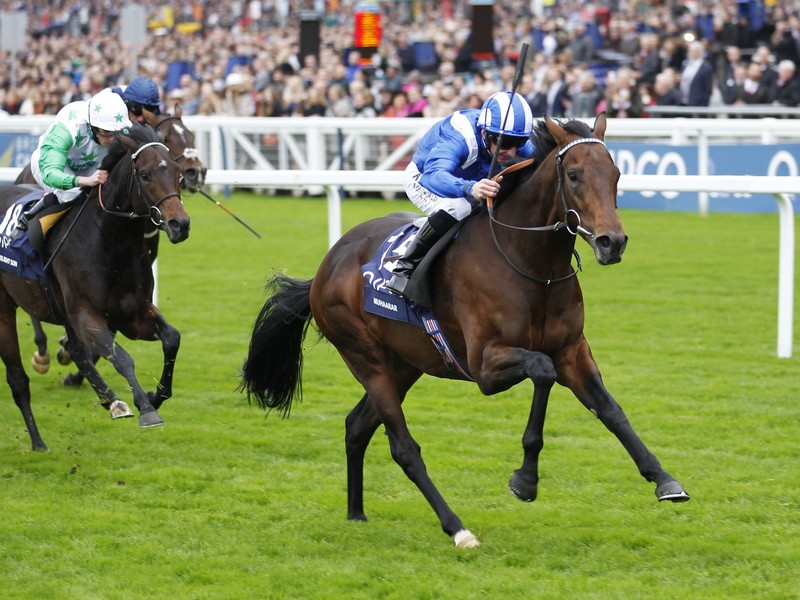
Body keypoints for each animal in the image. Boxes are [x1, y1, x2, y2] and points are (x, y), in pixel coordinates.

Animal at [0, 124, 190, 450]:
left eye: (177, 172)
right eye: (145, 174)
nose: (180, 224)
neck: (110, 242)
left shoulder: (131, 315)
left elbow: (171, 338)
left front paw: (154, 395)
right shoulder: (87, 315)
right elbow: (122, 357)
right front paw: (147, 409)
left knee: (77, 351)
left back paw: (112, 401)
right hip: (6, 308)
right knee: (18, 377)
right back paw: (38, 439)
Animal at [238, 113, 688, 548]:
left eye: (616, 173)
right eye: (574, 175)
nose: (613, 242)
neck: (532, 265)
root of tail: (325, 266)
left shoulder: (573, 351)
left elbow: (611, 410)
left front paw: (664, 480)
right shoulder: (485, 365)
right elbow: (542, 371)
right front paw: (525, 481)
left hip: (405, 362)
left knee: (357, 425)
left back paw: (356, 513)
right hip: (364, 355)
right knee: (403, 448)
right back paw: (457, 529)